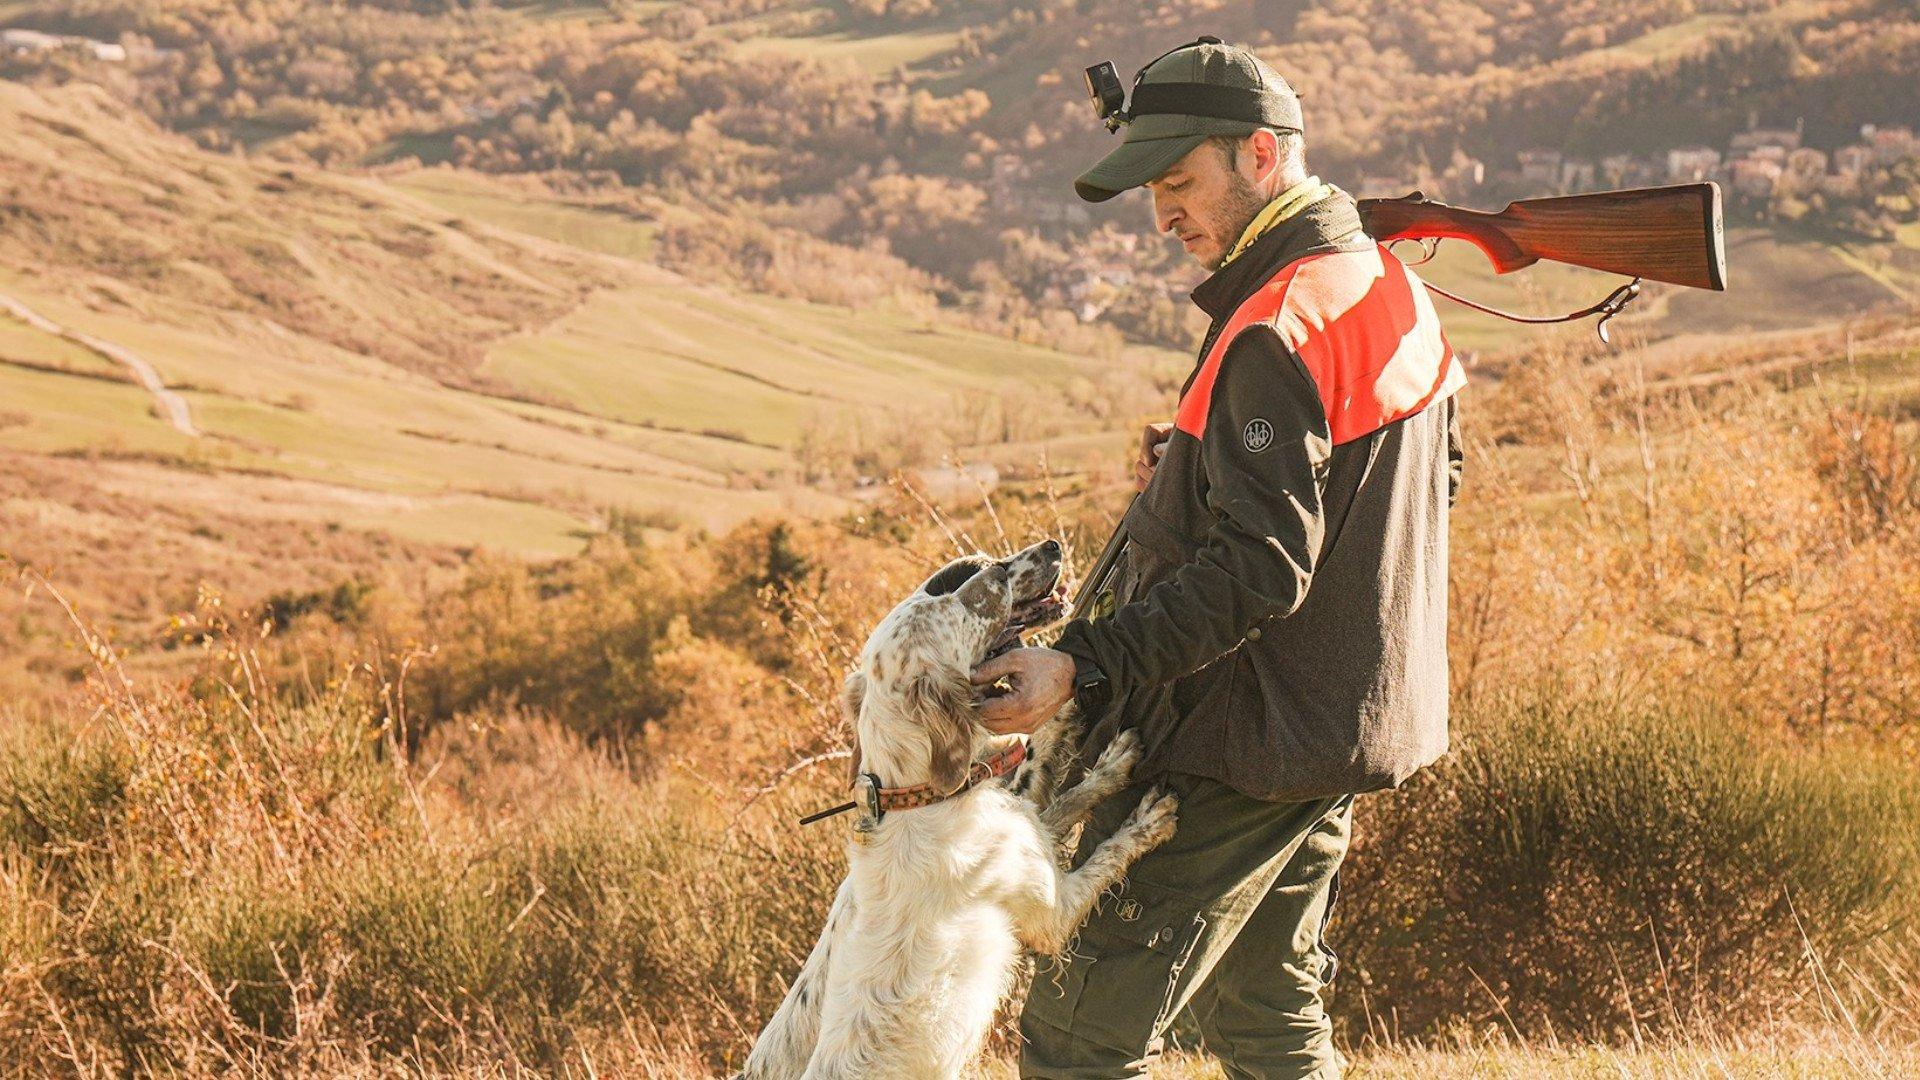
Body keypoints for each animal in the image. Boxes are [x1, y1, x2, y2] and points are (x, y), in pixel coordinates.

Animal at [737, 538, 1175, 1076]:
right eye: (970, 599)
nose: (1050, 545)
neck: (924, 796)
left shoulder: (1028, 827)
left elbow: (1063, 791)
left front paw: (1095, 750)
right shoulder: (1054, 912)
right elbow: (1108, 853)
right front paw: (1148, 820)